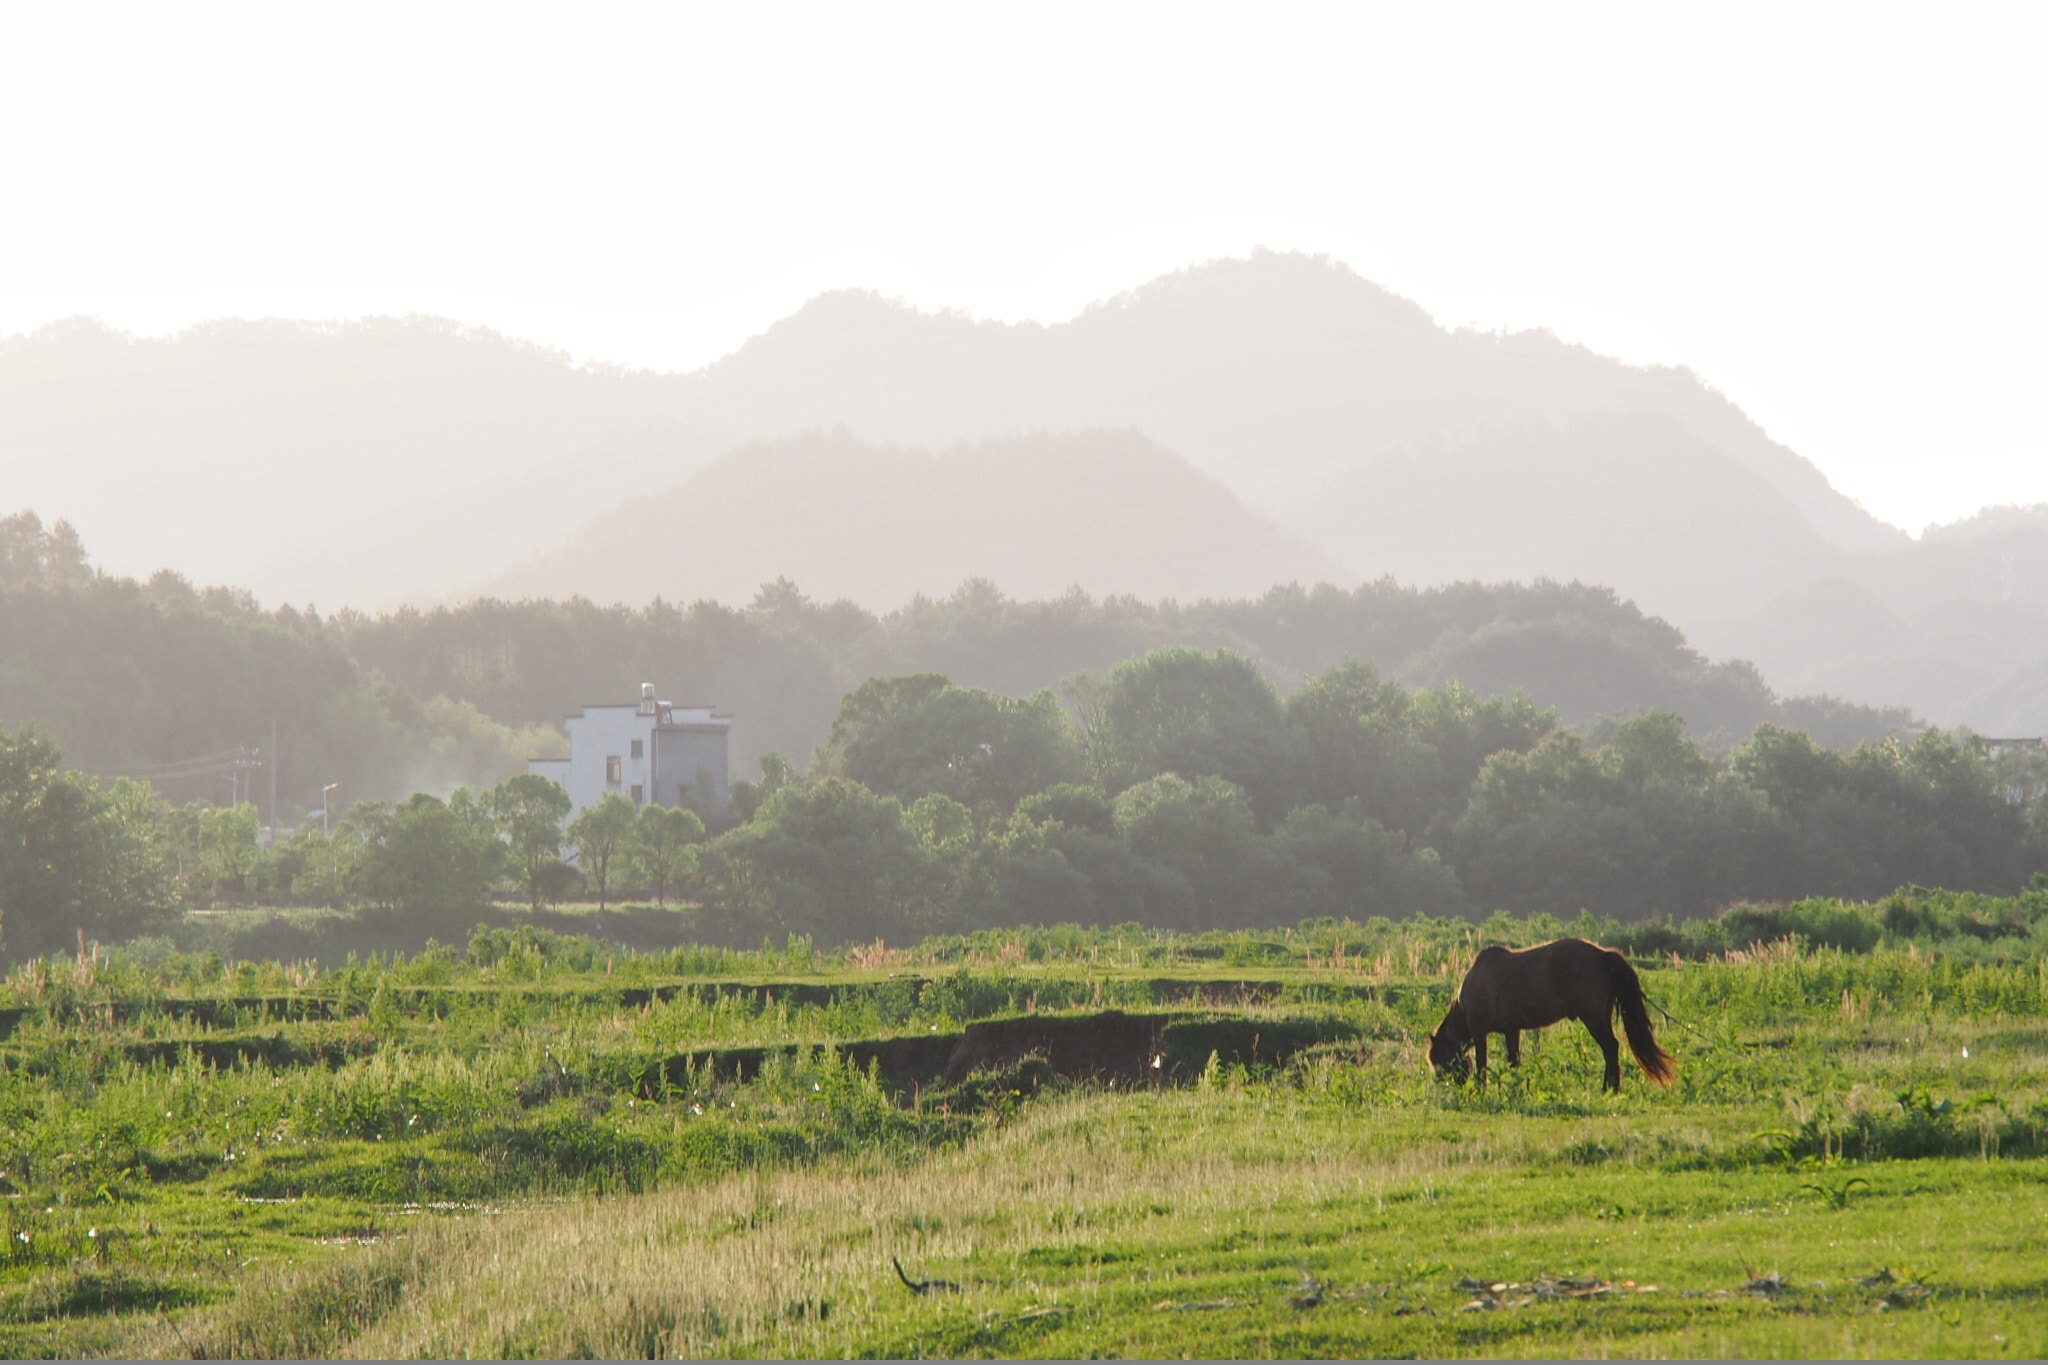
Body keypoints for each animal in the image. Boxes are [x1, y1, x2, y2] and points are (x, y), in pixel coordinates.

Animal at [1433, 945, 1671, 1096]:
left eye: (1439, 1062)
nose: (1444, 1087)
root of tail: (1602, 955)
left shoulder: (1480, 1031)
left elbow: (1483, 1064)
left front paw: (1480, 1089)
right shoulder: (1511, 1030)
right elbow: (1513, 1062)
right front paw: (1517, 1088)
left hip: (1593, 1019)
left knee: (1610, 1047)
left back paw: (1609, 1088)